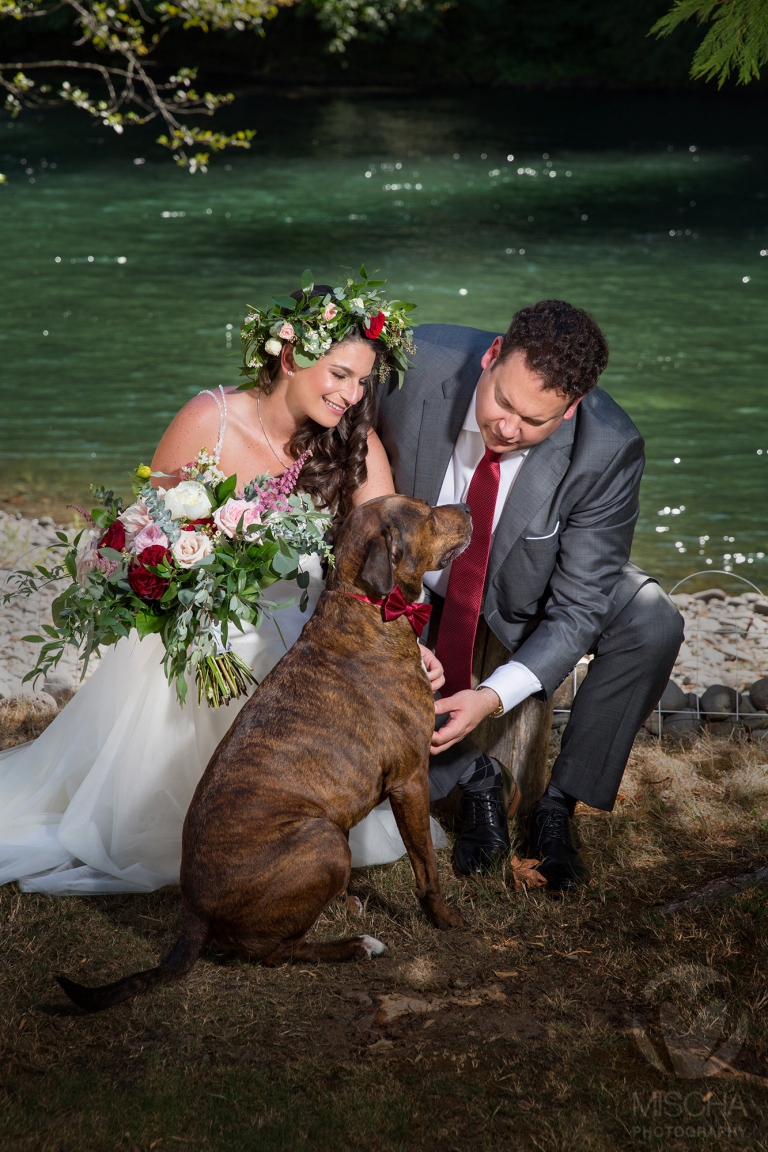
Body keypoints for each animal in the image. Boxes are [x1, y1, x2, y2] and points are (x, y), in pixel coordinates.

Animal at [58, 490, 469, 1013]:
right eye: (427, 513)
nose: (469, 511)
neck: (362, 608)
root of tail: (195, 910)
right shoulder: (411, 780)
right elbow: (426, 866)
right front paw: (443, 916)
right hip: (323, 840)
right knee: (275, 953)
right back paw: (356, 946)